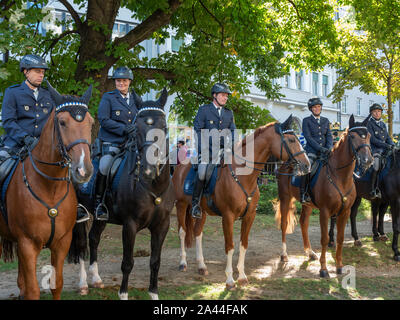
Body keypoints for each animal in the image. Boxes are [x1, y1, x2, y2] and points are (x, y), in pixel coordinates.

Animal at [0, 83, 93, 300]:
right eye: (62, 122)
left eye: (91, 123)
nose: (84, 169)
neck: (49, 188)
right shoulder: (27, 244)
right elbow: (33, 290)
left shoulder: (62, 242)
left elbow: (55, 285)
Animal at [67, 88, 175, 300]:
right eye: (137, 127)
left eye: (163, 127)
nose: (149, 170)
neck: (153, 187)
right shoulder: (130, 225)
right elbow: (127, 263)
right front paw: (123, 294)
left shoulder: (162, 225)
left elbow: (155, 262)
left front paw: (154, 294)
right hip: (79, 213)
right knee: (82, 244)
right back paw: (83, 284)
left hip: (100, 216)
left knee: (94, 238)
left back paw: (96, 279)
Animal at [172, 115, 310, 290]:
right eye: (291, 139)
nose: (307, 165)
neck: (243, 176)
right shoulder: (228, 217)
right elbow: (230, 246)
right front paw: (230, 279)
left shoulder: (250, 216)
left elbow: (243, 244)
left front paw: (242, 276)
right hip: (181, 205)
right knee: (182, 232)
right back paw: (183, 263)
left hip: (201, 211)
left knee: (197, 233)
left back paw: (201, 266)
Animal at [274, 115, 374, 278]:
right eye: (353, 136)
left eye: (369, 136)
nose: (367, 160)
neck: (340, 176)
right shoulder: (325, 211)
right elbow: (325, 239)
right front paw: (323, 269)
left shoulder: (345, 211)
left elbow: (340, 238)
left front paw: (339, 266)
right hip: (285, 198)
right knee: (284, 224)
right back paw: (284, 255)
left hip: (307, 204)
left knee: (303, 222)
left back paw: (309, 253)